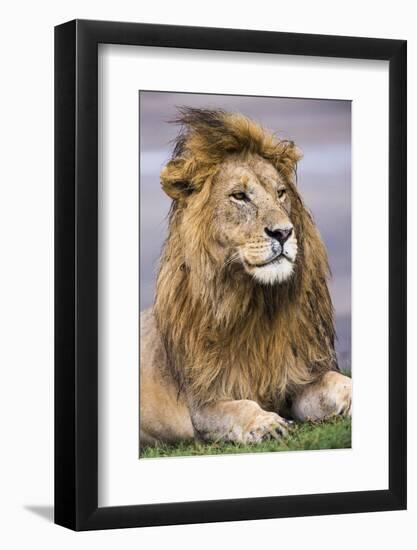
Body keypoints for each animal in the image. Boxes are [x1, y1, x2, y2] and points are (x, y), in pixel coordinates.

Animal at [140, 106, 352, 448]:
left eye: (281, 193)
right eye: (239, 196)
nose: (283, 232)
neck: (256, 304)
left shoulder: (296, 378)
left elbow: (336, 381)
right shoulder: (203, 404)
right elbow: (239, 408)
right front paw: (267, 424)